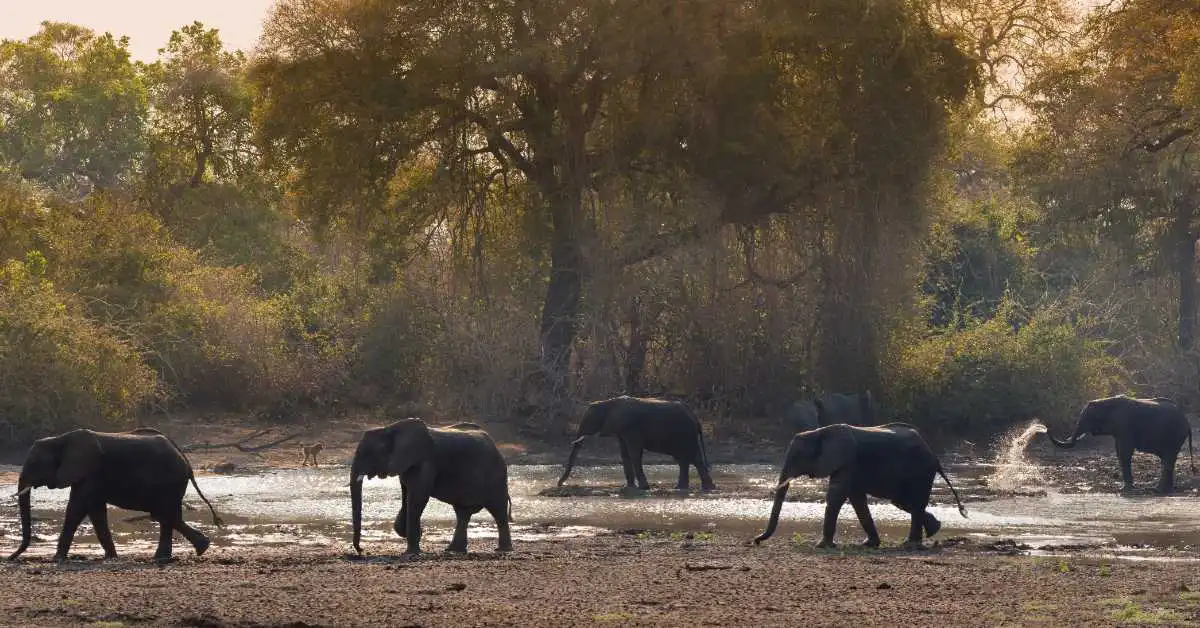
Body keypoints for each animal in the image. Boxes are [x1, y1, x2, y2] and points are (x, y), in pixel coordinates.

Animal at [8, 427, 223, 564]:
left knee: (165, 514)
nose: (11, 558)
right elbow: (95, 512)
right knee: (166, 516)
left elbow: (77, 509)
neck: (59, 439)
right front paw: (111, 557)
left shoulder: (90, 472)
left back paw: (188, 551)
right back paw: (186, 551)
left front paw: (57, 559)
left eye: (35, 464)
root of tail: (185, 459)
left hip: (170, 481)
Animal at [350, 420, 513, 557]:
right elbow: (407, 496)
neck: (390, 428)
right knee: (463, 514)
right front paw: (414, 534)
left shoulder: (425, 462)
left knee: (498, 510)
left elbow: (418, 497)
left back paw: (502, 550)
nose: (361, 550)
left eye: (368, 453)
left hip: (496, 476)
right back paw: (453, 550)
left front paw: (411, 552)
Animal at [554, 396, 710, 494]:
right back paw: (685, 488)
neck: (608, 403)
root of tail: (696, 418)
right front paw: (629, 487)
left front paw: (643, 488)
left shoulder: (631, 428)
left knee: (691, 458)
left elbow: (634, 453)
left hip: (686, 434)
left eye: (590, 419)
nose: (559, 484)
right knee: (685, 459)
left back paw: (703, 488)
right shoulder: (621, 431)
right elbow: (625, 454)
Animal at [753, 422, 969, 549]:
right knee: (904, 502)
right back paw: (933, 530)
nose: (755, 540)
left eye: (797, 457)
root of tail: (935, 457)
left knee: (913, 503)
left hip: (921, 471)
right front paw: (869, 544)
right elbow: (856, 499)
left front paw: (821, 546)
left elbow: (837, 496)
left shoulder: (847, 460)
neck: (819, 432)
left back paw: (911, 544)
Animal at [1046, 396, 1195, 494]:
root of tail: (1187, 422)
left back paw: (1158, 490)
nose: (1046, 428)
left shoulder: (1124, 427)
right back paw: (1165, 490)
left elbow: (1124, 453)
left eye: (1088, 418)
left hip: (1174, 435)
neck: (1105, 402)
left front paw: (1125, 490)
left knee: (1168, 459)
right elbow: (1120, 452)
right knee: (1169, 460)